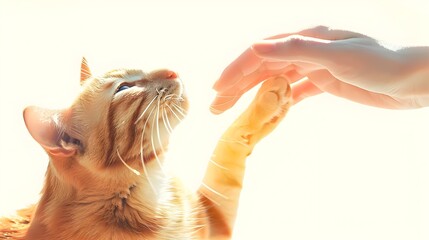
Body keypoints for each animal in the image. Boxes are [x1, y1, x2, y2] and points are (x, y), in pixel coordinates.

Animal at [0, 58, 290, 240]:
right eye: (124, 87)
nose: (172, 70)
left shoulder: (210, 217)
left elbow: (232, 141)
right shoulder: (219, 222)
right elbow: (226, 151)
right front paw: (271, 96)